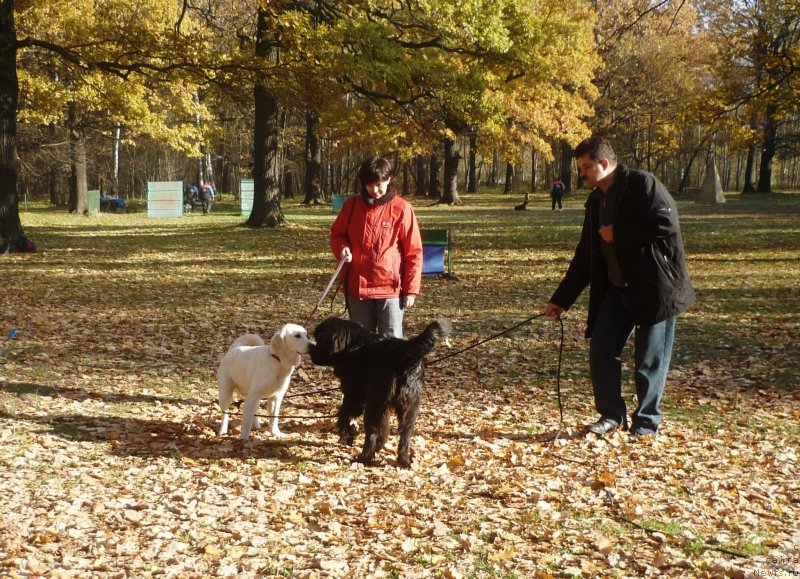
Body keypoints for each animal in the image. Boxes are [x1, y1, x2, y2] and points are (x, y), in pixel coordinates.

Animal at [310, 320, 454, 468]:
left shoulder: (354, 394)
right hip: (409, 406)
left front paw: (346, 435)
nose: (310, 349)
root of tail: (401, 351)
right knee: (405, 434)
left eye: (319, 339)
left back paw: (364, 458)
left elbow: (344, 413)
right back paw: (404, 460)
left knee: (373, 433)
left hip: (375, 403)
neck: (352, 345)